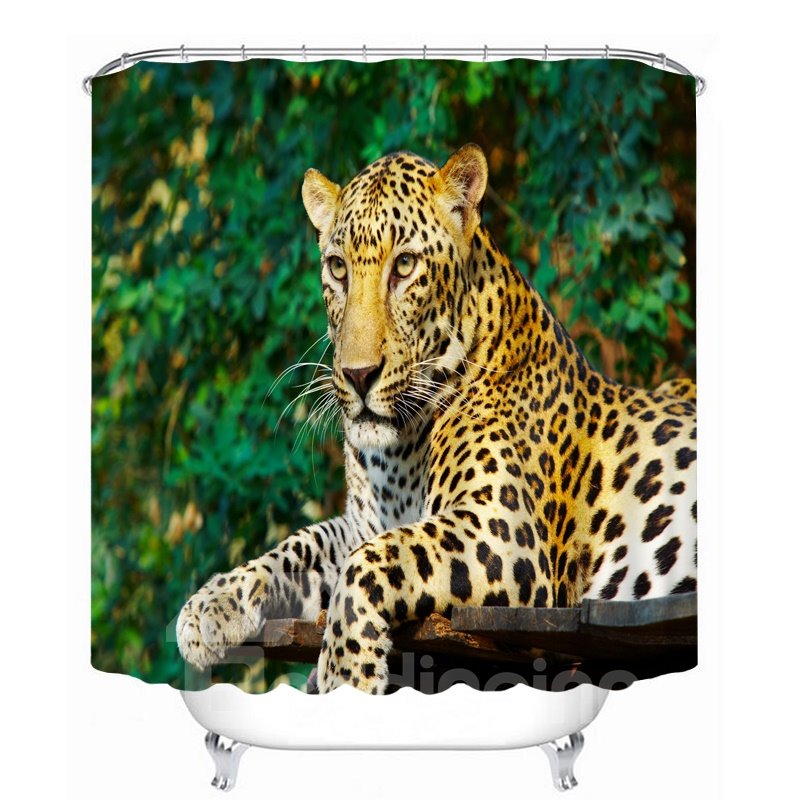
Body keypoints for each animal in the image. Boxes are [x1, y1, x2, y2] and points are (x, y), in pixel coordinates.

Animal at [176, 144, 697, 695]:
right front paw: (212, 604)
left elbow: (373, 560)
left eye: (405, 265)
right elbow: (300, 544)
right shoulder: (361, 523)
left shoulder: (502, 528)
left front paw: (344, 673)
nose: (358, 375)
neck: (399, 449)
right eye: (338, 269)